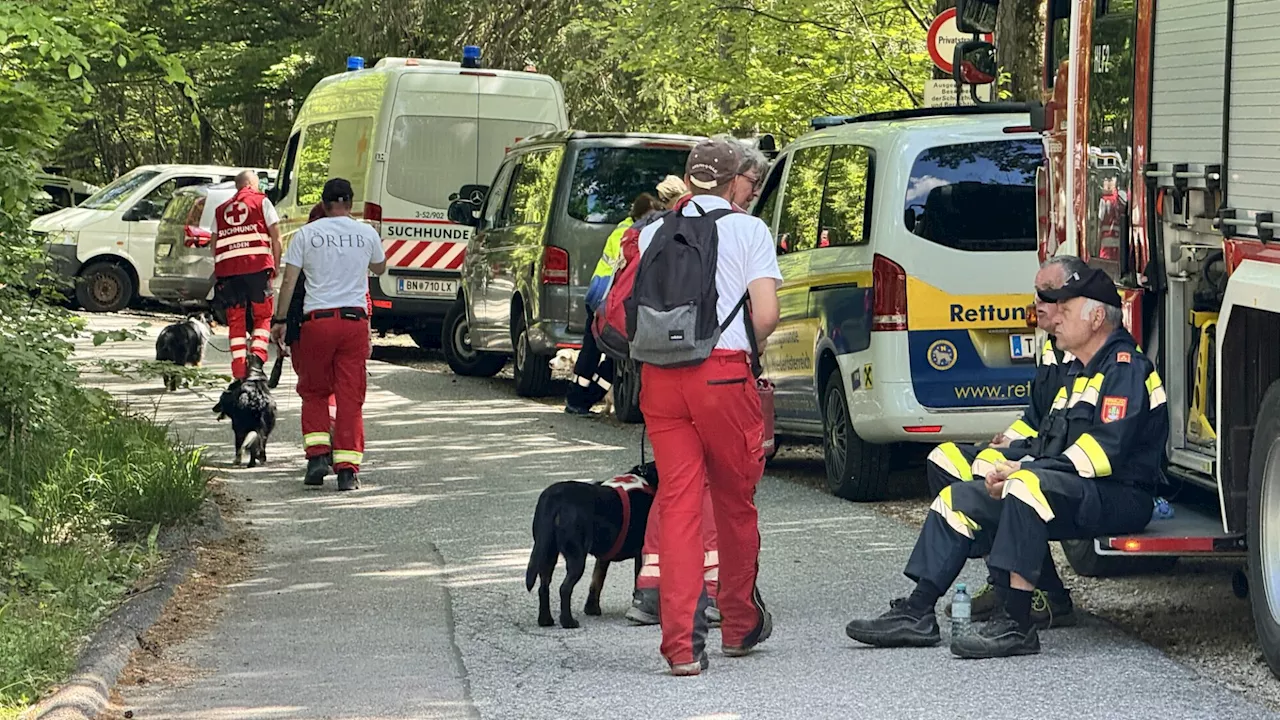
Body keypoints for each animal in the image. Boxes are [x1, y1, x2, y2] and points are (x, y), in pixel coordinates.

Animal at [524, 461, 660, 625]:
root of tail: (555, 498)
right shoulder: (641, 552)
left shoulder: (603, 557)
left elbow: (596, 581)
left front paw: (591, 608)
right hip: (576, 556)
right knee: (564, 588)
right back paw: (568, 621)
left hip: (547, 553)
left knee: (543, 587)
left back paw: (546, 620)